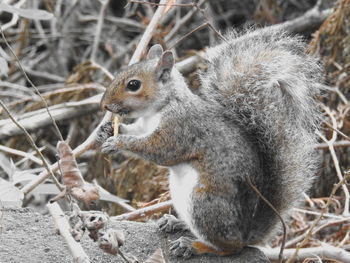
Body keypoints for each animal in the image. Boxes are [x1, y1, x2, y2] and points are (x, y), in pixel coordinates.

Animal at [97, 27, 322, 258]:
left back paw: (192, 246)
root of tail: (246, 234)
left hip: (204, 204)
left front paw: (119, 142)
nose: (104, 105)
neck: (160, 108)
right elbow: (136, 131)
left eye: (133, 85)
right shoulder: (144, 126)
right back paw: (176, 223)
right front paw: (107, 131)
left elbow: (160, 150)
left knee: (229, 247)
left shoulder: (180, 128)